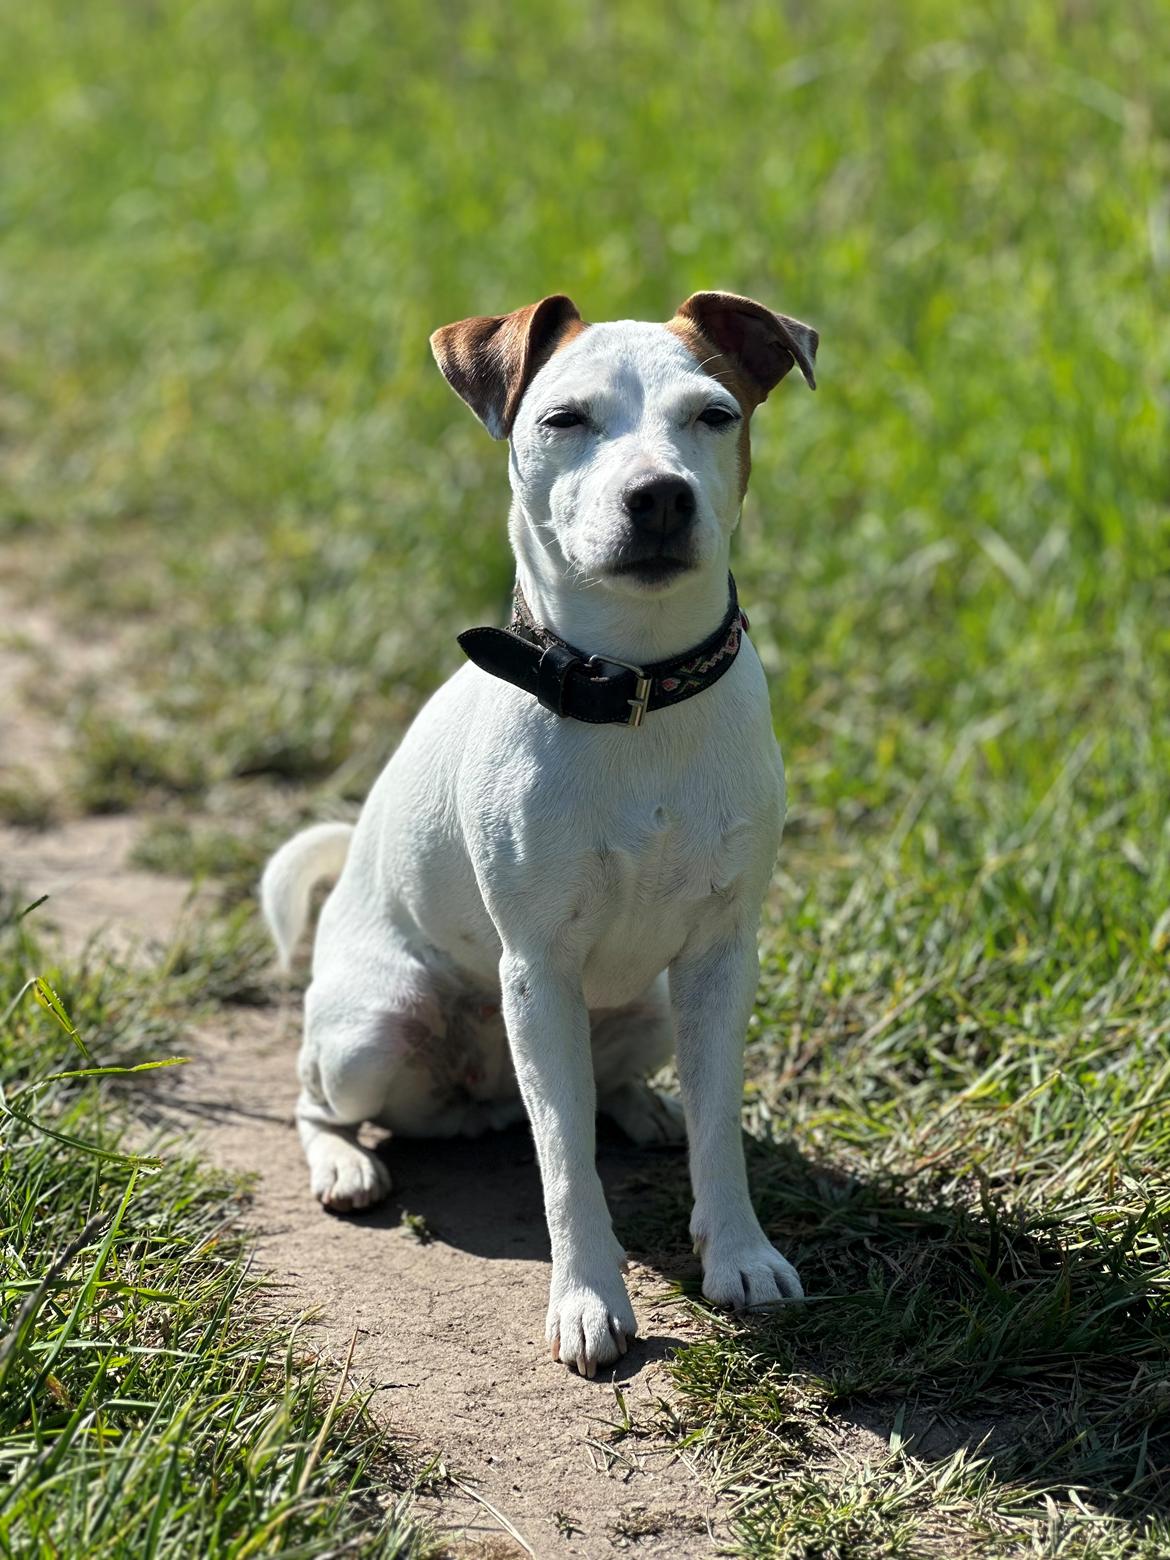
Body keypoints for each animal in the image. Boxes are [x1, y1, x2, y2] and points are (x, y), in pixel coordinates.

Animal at [260, 287, 817, 1372]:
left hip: (650, 1006)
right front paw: (589, 1298)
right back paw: (344, 1162)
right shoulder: (538, 971)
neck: (635, 686)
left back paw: (641, 1106)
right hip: (372, 1029)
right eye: (564, 419)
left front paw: (738, 1252)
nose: (659, 498)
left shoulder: (723, 957)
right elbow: (563, 1162)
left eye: (713, 415)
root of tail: (475, 1092)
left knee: (609, 1085)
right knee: (314, 1094)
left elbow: (720, 1129)